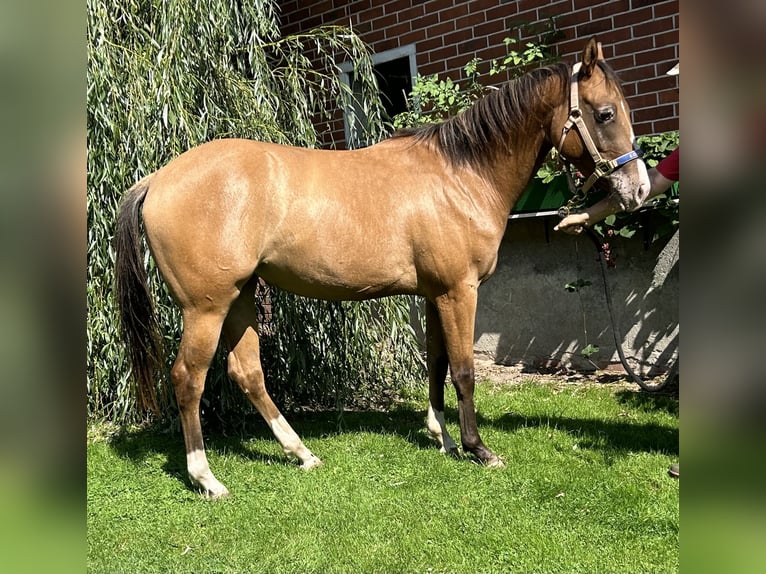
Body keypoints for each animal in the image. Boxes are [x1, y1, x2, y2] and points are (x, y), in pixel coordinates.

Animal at [114, 37, 652, 500]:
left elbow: (436, 364)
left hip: (241, 296)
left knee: (247, 373)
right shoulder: (459, 292)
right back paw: (206, 478)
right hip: (206, 308)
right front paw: (478, 449)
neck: (458, 176)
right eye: (605, 114)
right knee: (188, 378)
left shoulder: (435, 295)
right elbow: (464, 370)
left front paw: (443, 438)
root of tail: (158, 178)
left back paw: (301, 453)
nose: (640, 189)